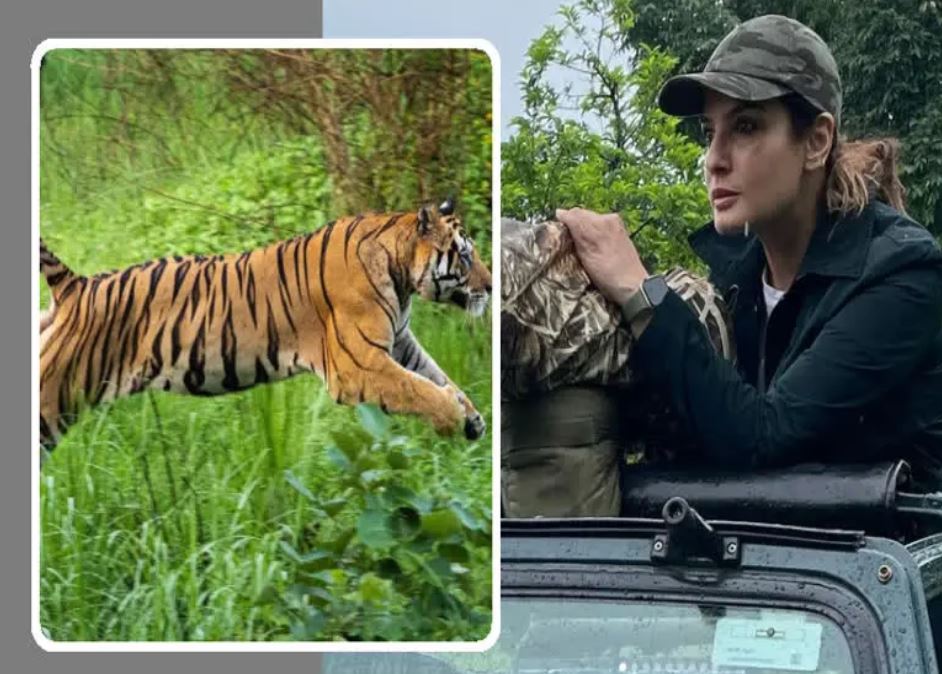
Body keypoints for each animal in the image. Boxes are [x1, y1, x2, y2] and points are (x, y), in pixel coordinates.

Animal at [39, 197, 490, 454]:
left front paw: (471, 416)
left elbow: (435, 375)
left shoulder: (398, 343)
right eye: (466, 256)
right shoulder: (356, 365)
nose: (490, 286)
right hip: (51, 401)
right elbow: (417, 389)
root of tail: (74, 285)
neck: (400, 274)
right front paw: (452, 416)